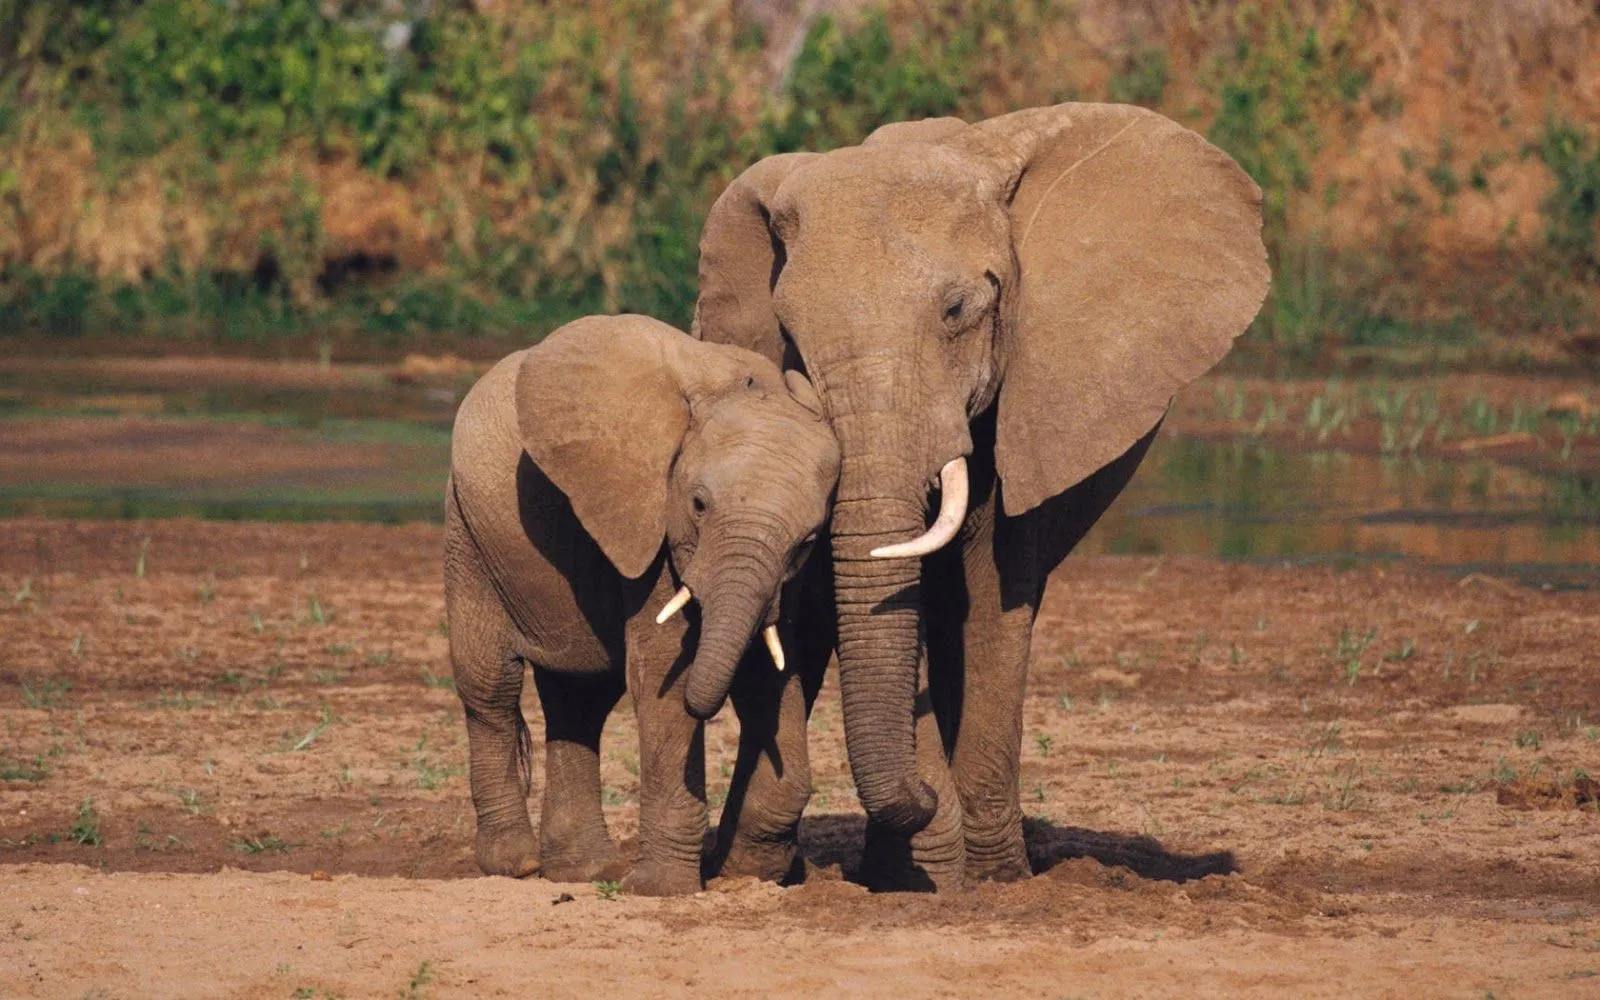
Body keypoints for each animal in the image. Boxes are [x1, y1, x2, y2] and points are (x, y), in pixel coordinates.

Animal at [445, 313, 840, 895]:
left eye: (809, 540)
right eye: (697, 505)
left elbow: (768, 671)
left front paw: (752, 873)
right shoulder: (649, 521)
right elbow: (662, 675)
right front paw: (662, 889)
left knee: (579, 699)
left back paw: (584, 871)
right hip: (469, 533)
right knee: (490, 686)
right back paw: (518, 865)